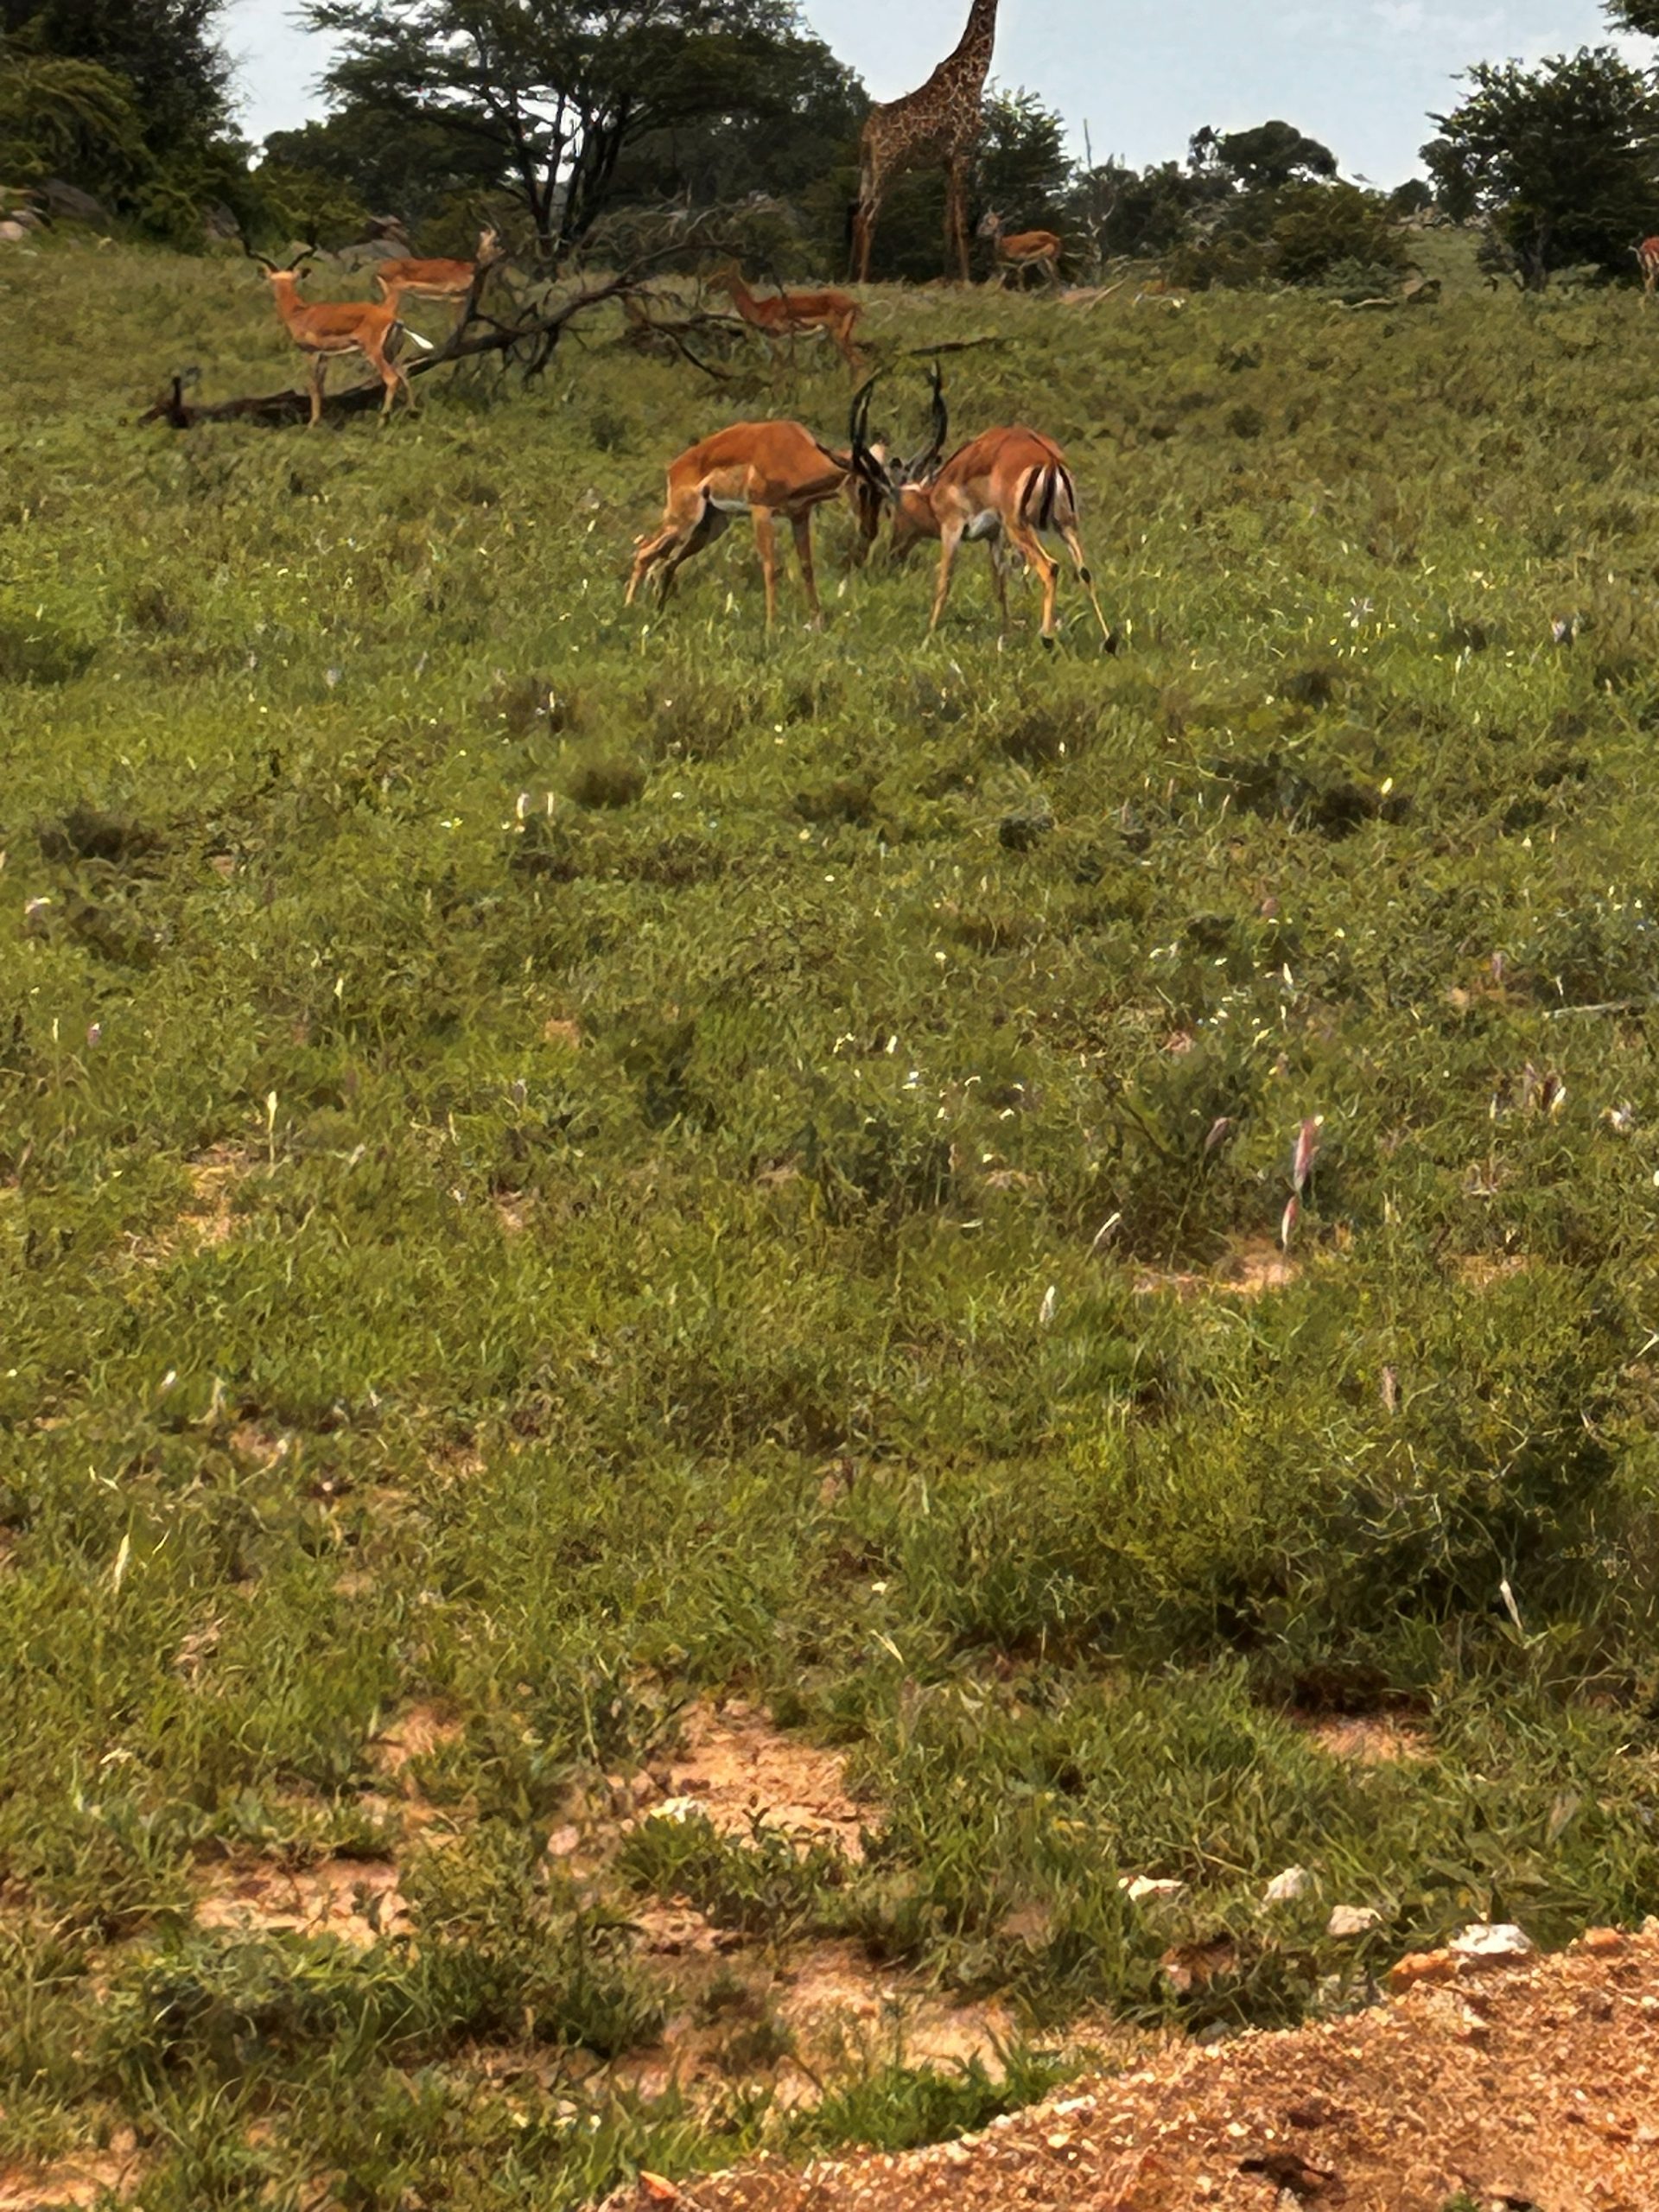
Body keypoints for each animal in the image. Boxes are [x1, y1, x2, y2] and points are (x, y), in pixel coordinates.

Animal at [249, 247, 418, 427]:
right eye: (273, 280)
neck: (299, 312)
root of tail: (391, 316)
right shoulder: (325, 356)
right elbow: (321, 386)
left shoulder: (311, 352)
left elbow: (312, 386)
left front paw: (312, 424)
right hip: (391, 353)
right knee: (404, 374)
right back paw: (412, 413)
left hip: (374, 353)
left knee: (392, 379)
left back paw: (381, 422)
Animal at [627, 411, 892, 627]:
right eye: (862, 486)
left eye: (884, 489)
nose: (870, 531)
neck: (793, 453)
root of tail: (674, 466)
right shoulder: (762, 511)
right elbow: (771, 568)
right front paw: (771, 628)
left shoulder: (799, 514)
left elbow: (807, 567)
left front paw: (817, 624)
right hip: (683, 522)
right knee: (644, 552)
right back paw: (628, 610)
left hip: (711, 527)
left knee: (666, 563)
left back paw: (657, 613)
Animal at [709, 263, 865, 373]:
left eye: (722, 276)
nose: (708, 286)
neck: (759, 309)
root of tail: (854, 303)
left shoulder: (779, 336)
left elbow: (779, 367)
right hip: (839, 336)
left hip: (838, 335)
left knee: (858, 363)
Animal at [849, 368, 1112, 647]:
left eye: (890, 511)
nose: (892, 554)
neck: (935, 495)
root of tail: (1049, 460)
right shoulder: (993, 536)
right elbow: (999, 585)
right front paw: (1006, 635)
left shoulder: (952, 529)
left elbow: (944, 580)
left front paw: (928, 635)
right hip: (1066, 524)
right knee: (1084, 571)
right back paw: (1109, 641)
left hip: (1019, 526)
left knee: (1050, 567)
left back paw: (1047, 637)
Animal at [850, 0, 1000, 286]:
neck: (974, 74)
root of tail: (867, 134)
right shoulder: (964, 152)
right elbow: (962, 223)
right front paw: (967, 282)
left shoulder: (947, 161)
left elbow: (947, 223)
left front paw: (948, 281)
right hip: (888, 166)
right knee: (870, 216)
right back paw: (863, 281)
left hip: (869, 169)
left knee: (859, 213)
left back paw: (849, 277)